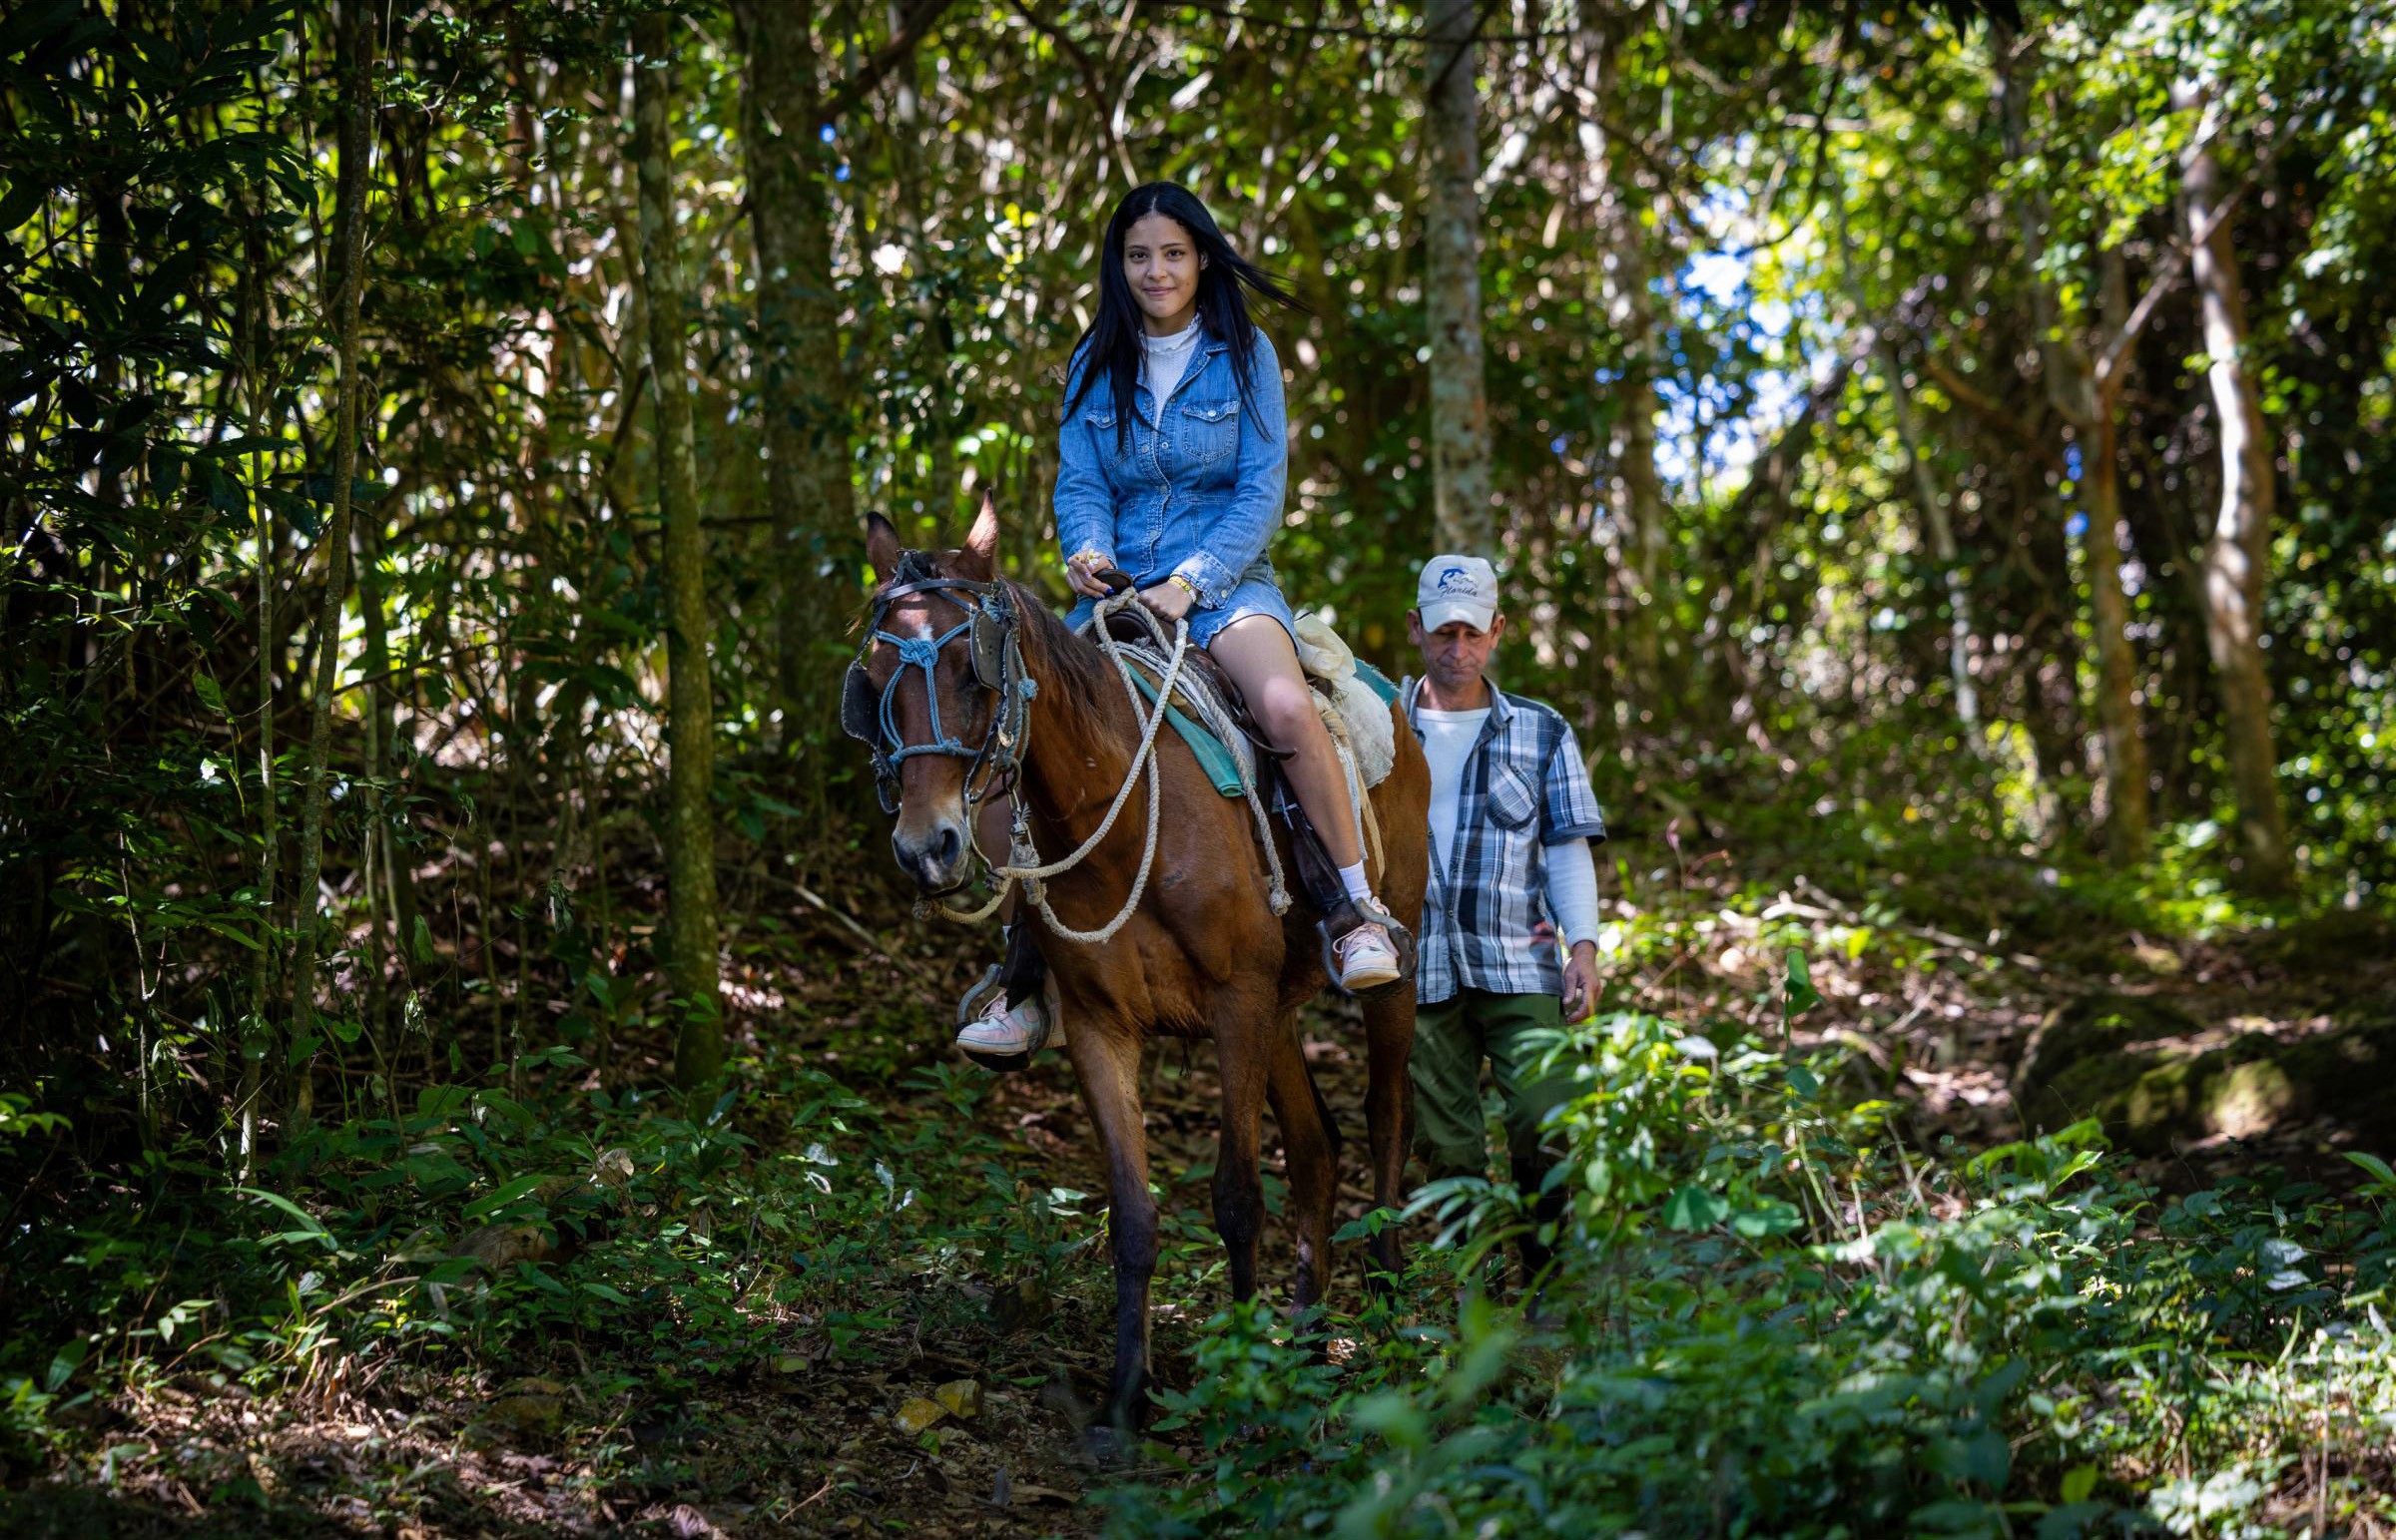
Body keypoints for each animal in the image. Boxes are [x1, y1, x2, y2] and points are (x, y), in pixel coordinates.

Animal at [858, 510, 1428, 1446]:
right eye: (872, 680)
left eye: (973, 669)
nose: (925, 847)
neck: (1119, 822)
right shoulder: (1102, 1025)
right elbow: (1131, 1216)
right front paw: (1127, 1397)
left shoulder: (1236, 1002)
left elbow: (1236, 1198)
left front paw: (1242, 1386)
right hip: (1279, 1009)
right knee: (1316, 1148)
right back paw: (1307, 1337)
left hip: (1388, 965)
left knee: (1386, 1115)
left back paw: (1380, 1299)